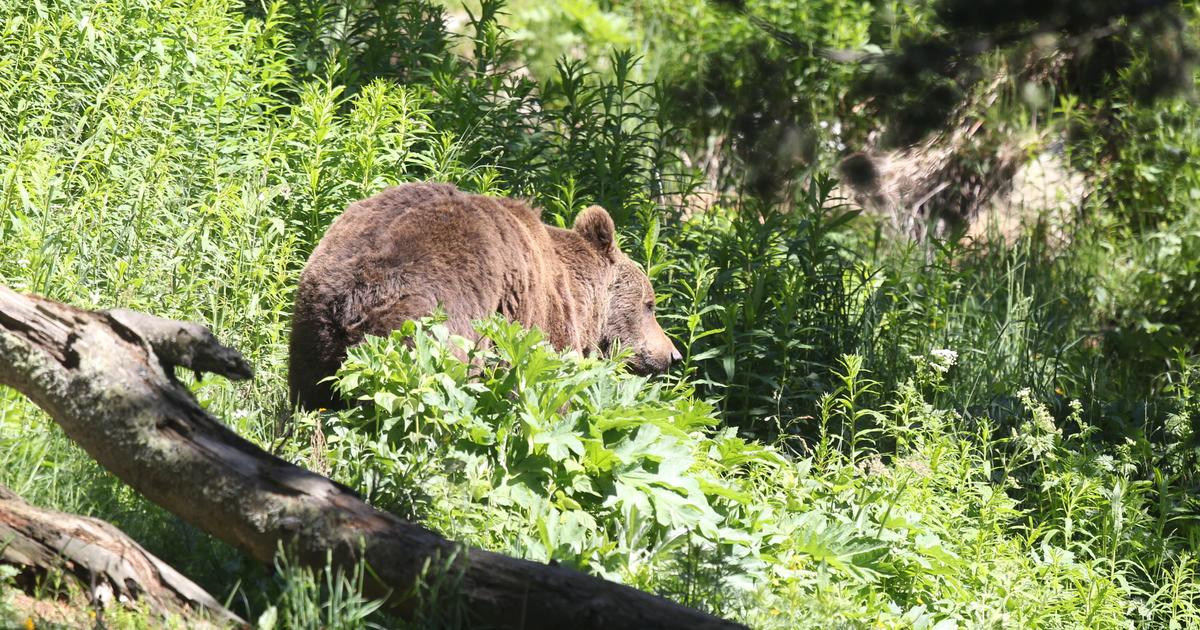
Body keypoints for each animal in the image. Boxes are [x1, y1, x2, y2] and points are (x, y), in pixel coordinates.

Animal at [289, 178, 681, 410]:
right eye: (650, 305)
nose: (673, 354)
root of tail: (354, 296)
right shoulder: (537, 322)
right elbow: (544, 391)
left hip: (311, 326)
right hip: (429, 328)